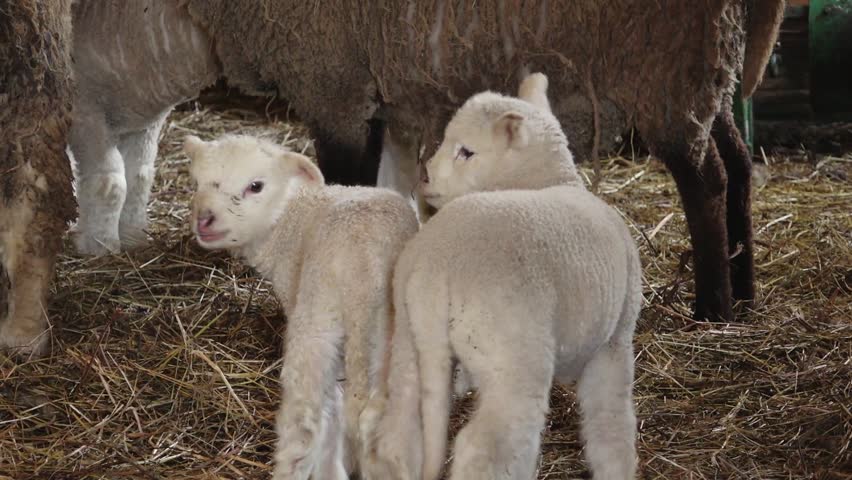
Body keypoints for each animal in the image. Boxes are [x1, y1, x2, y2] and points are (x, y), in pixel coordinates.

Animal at [68, 0, 785, 322]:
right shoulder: (381, 96)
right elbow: (388, 192)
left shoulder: (336, 82)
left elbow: (346, 187)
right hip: (707, 74)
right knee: (739, 165)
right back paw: (746, 293)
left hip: (664, 70)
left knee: (706, 180)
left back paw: (713, 307)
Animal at [182, 134, 419, 480]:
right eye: (197, 182)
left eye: (256, 186)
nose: (204, 219)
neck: (290, 216)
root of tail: (364, 268)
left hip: (315, 319)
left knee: (305, 422)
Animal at [361, 73, 642, 480]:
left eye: (466, 152)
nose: (424, 176)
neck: (549, 182)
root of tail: (434, 264)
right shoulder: (615, 341)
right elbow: (612, 427)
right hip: (513, 356)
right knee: (485, 447)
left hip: (409, 343)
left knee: (398, 435)